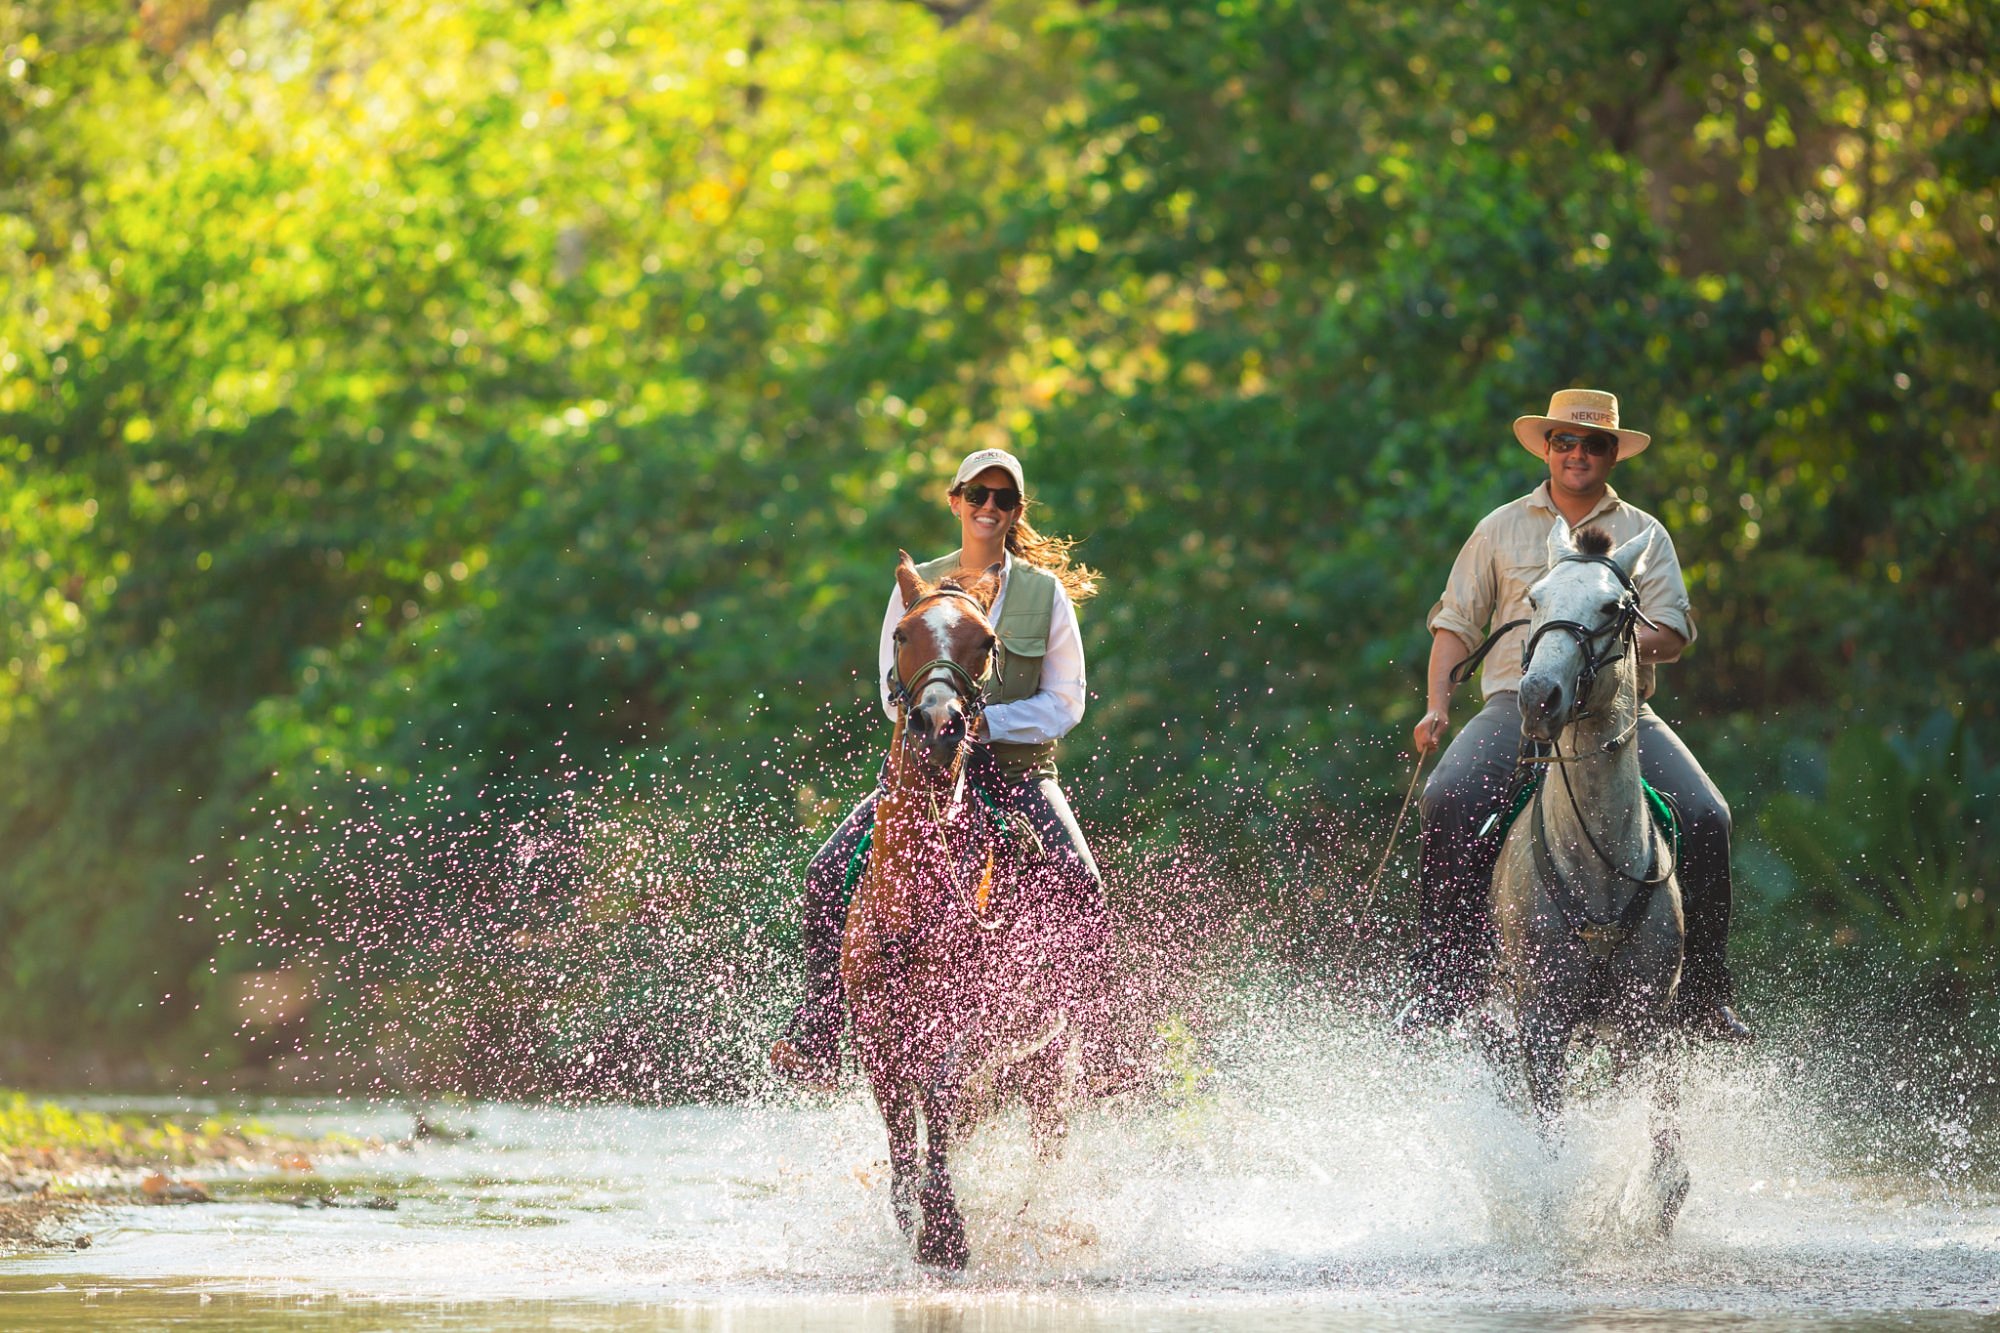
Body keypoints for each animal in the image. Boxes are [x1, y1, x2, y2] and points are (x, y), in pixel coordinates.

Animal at [1496, 520, 1696, 1232]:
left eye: (1614, 608)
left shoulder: (1648, 1024)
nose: (1538, 698)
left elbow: (1665, 1160)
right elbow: (1551, 1159)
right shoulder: (1541, 1027)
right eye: (1534, 598)